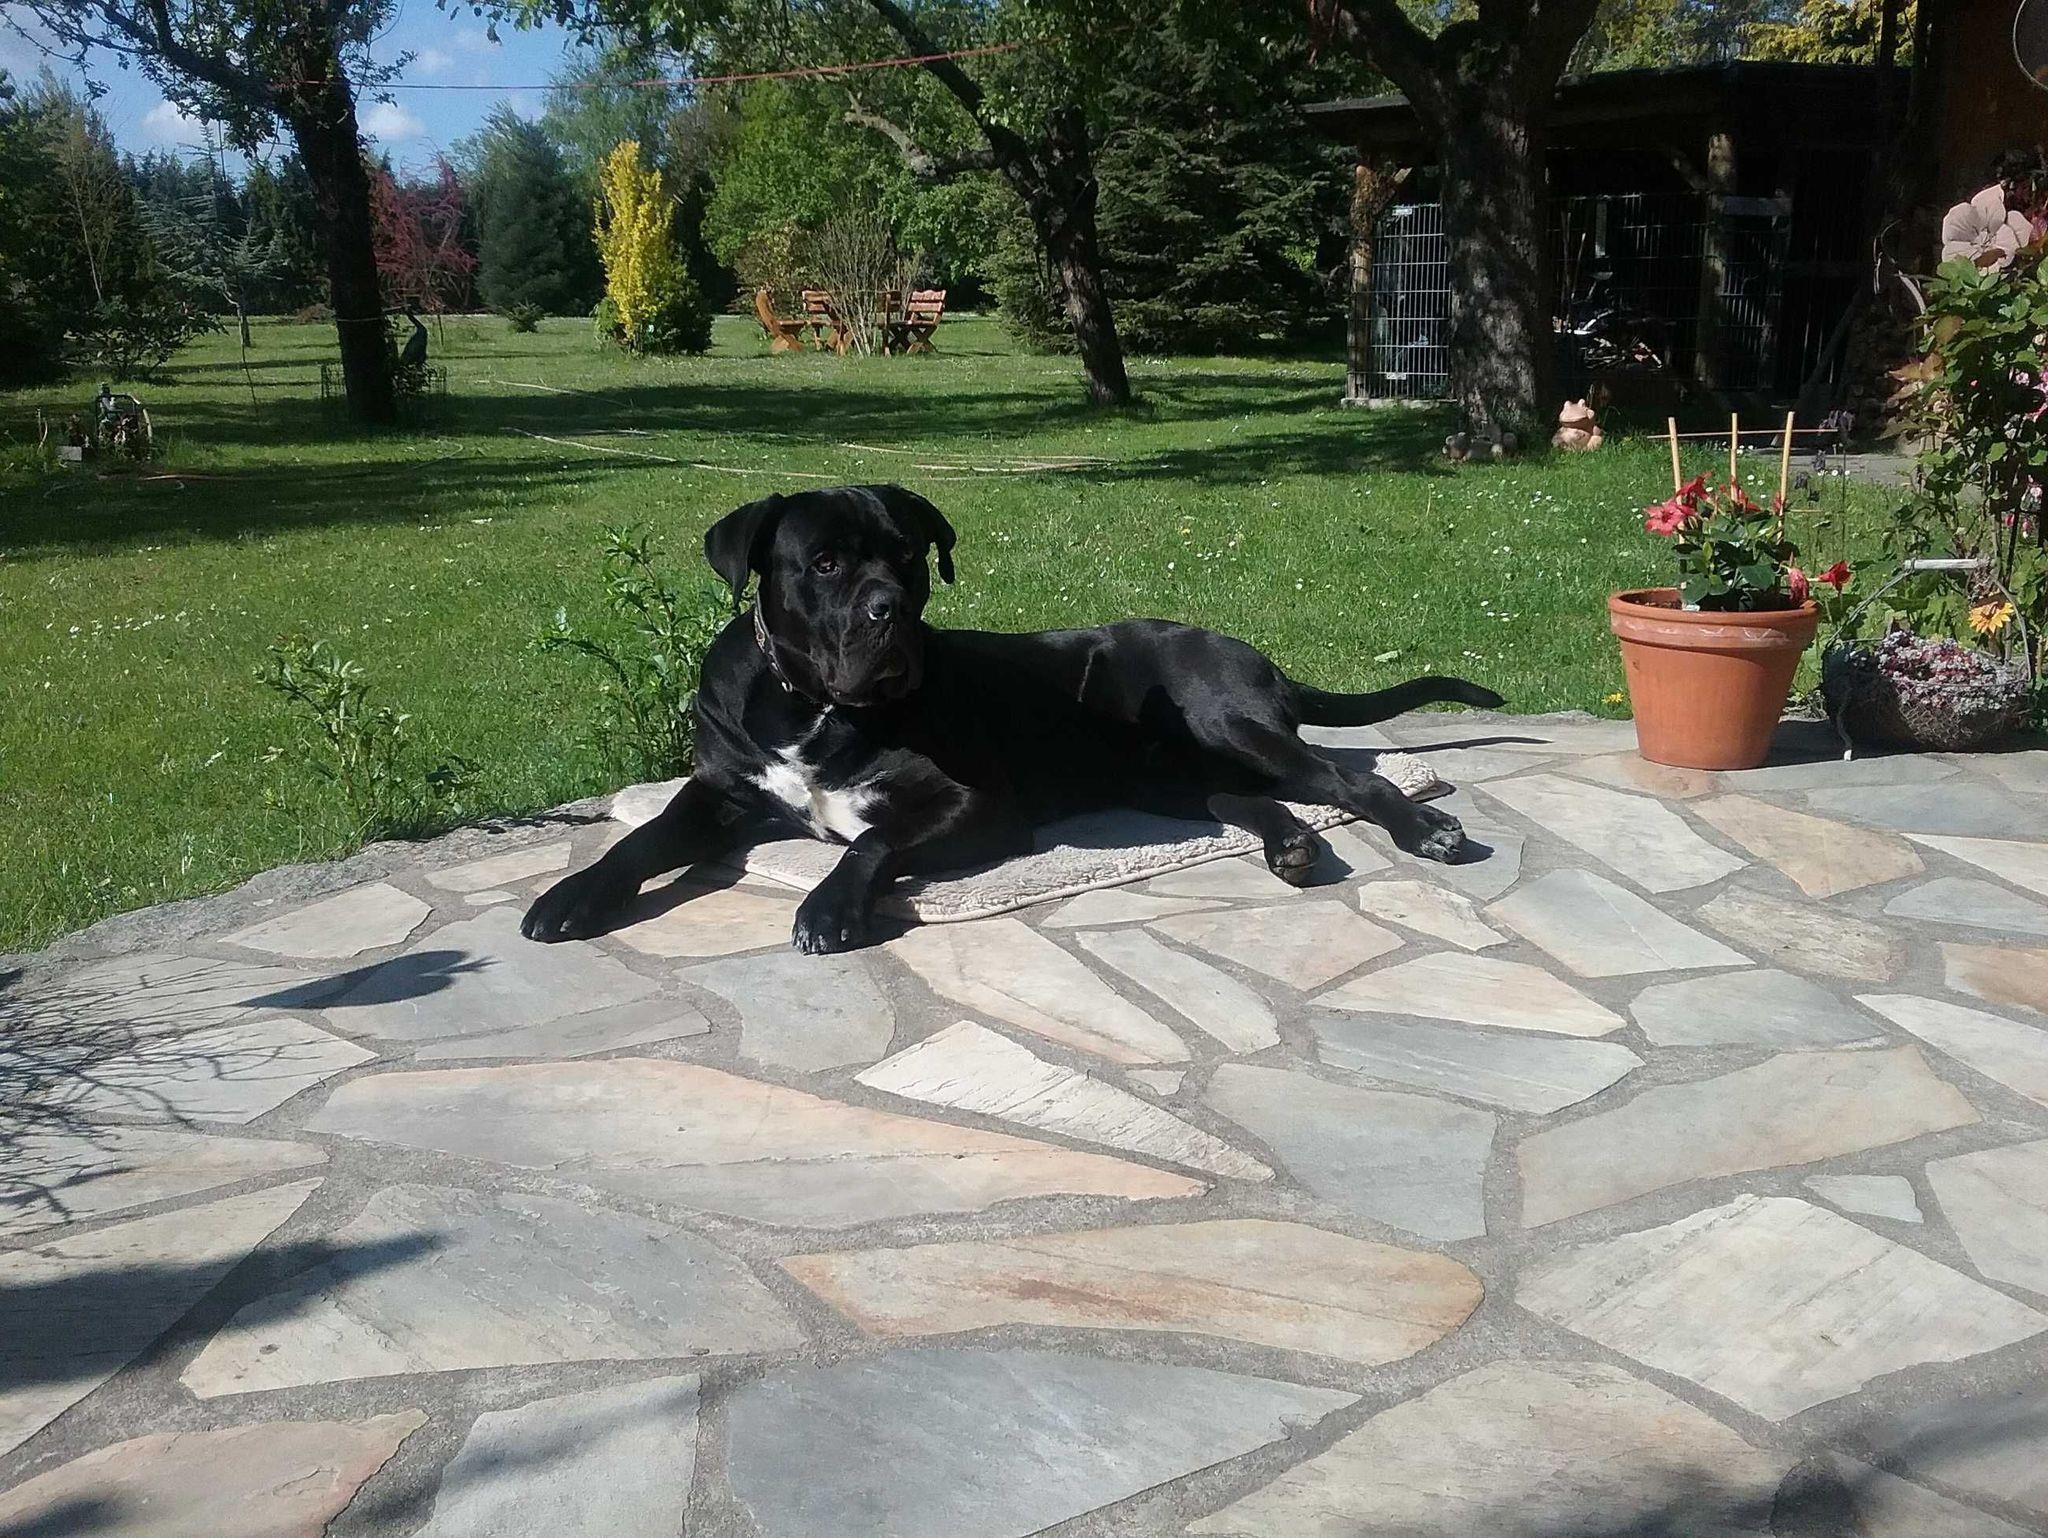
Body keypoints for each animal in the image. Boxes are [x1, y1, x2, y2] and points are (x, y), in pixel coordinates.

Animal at [524, 485, 1503, 955]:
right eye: (827, 563)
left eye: (909, 557)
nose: (889, 611)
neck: (813, 704)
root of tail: (1246, 647)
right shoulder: (721, 790)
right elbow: (641, 840)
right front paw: (570, 897)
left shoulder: (976, 806)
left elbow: (871, 840)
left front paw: (829, 905)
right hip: (1166, 777)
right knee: (1246, 800)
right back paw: (1289, 843)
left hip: (1230, 725)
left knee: (1348, 776)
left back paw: (1426, 829)